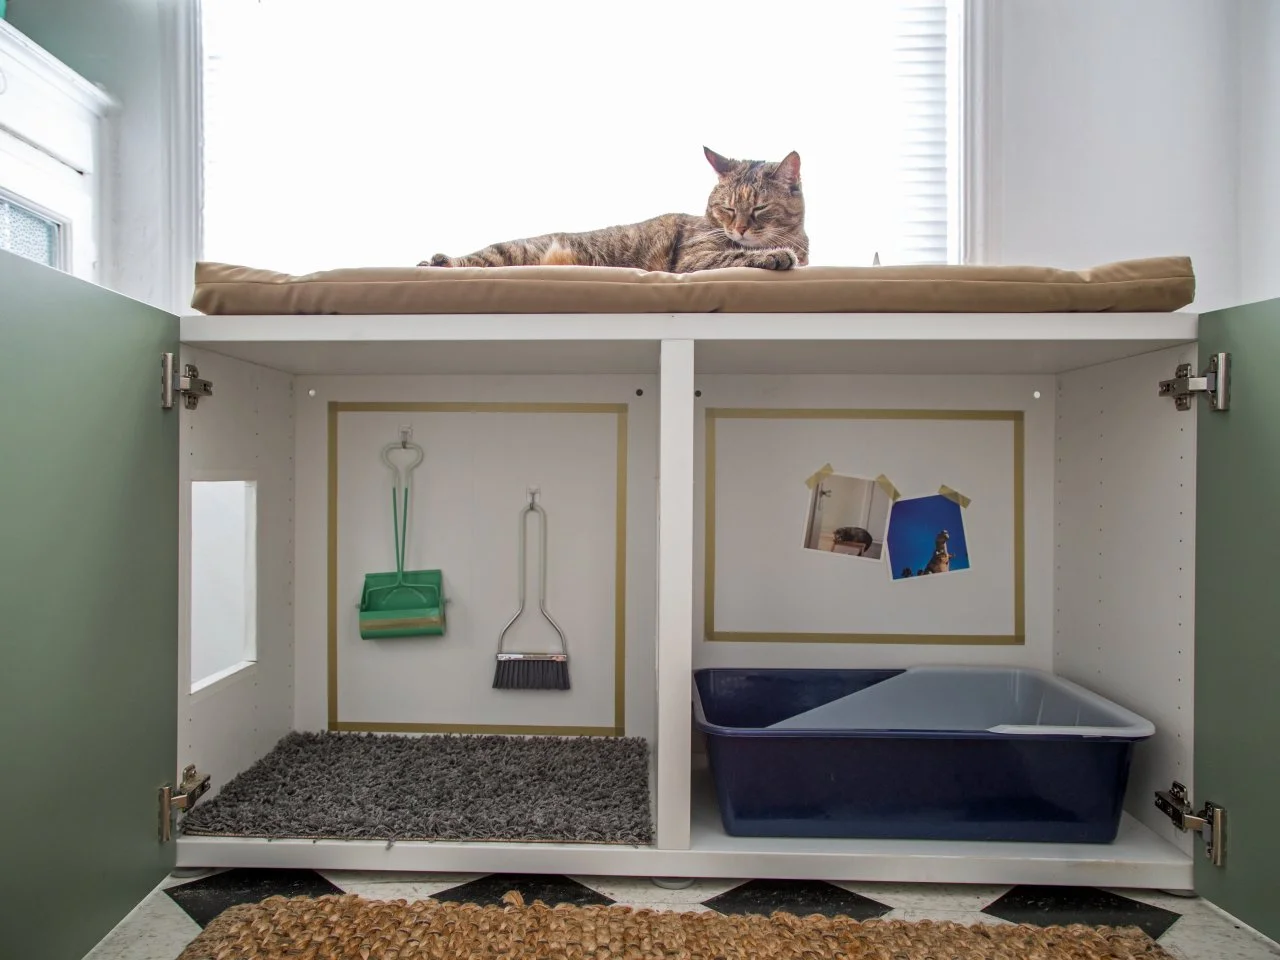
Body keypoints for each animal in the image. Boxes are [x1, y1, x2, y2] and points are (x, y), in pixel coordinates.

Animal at [427, 147, 808, 273]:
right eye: (728, 208)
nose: (739, 229)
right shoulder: (694, 260)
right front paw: (775, 255)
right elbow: (735, 255)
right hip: (509, 252)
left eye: (759, 208)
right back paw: (438, 262)